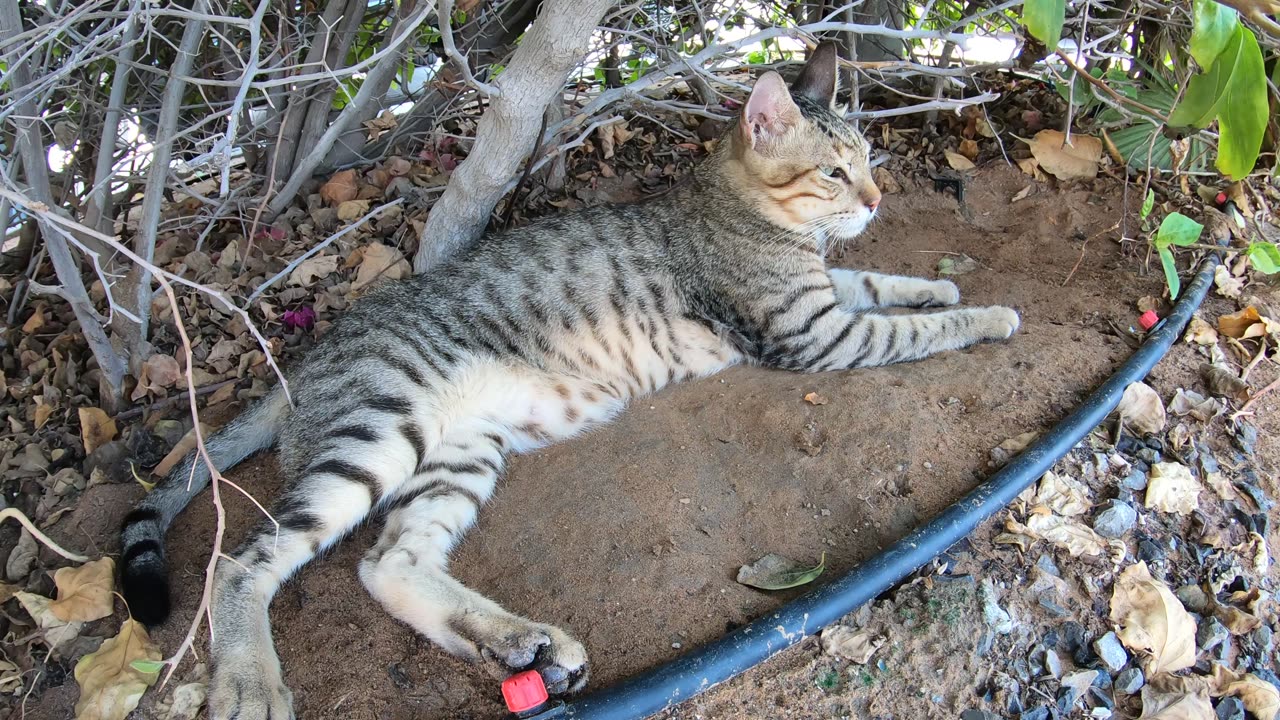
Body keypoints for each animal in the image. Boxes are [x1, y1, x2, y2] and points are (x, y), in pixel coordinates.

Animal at [120, 41, 1018, 712]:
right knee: (245, 564)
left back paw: (521, 642)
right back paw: (250, 679)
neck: (744, 213)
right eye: (834, 173)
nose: (875, 198)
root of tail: (304, 362)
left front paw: (937, 284)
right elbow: (905, 325)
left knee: (391, 563)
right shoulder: (810, 332)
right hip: (377, 432)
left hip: (456, 451)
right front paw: (985, 315)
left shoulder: (822, 303)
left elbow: (875, 282)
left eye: (867, 159)